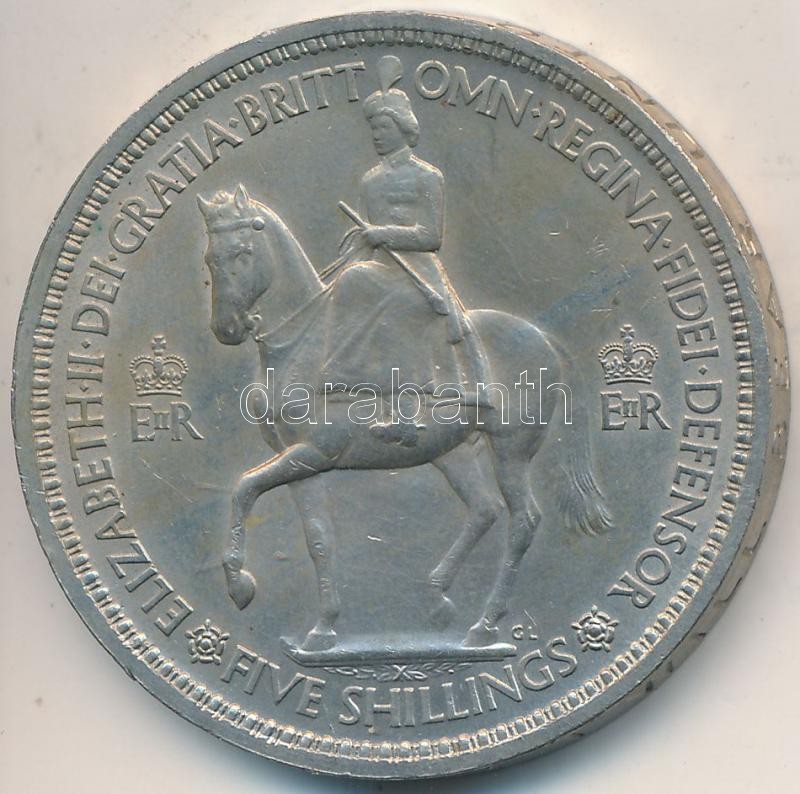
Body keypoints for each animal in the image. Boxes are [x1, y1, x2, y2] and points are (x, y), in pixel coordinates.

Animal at [197, 185, 612, 652]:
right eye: (210, 258)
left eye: (244, 252)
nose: (227, 329)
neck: (304, 341)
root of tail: (543, 339)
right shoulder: (301, 462)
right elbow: (318, 539)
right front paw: (323, 627)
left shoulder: (315, 452)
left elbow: (243, 488)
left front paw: (240, 584)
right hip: (451, 451)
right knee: (484, 510)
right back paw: (437, 597)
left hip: (511, 449)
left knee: (523, 521)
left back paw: (485, 624)